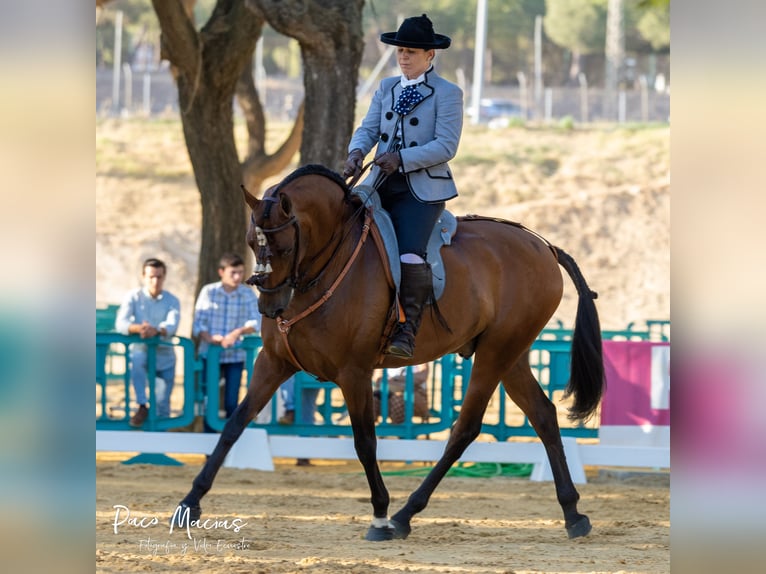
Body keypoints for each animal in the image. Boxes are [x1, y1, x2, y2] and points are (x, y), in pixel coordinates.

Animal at [174, 163, 608, 544]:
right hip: (511, 354)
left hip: (497, 353)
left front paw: (379, 516)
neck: (325, 267)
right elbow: (235, 424)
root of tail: (544, 246)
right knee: (543, 415)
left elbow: (365, 442)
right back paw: (573, 513)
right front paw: (189, 503)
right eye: (252, 242)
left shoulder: (354, 373)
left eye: (283, 245)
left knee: (465, 429)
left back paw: (402, 515)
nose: (269, 306)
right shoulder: (273, 363)